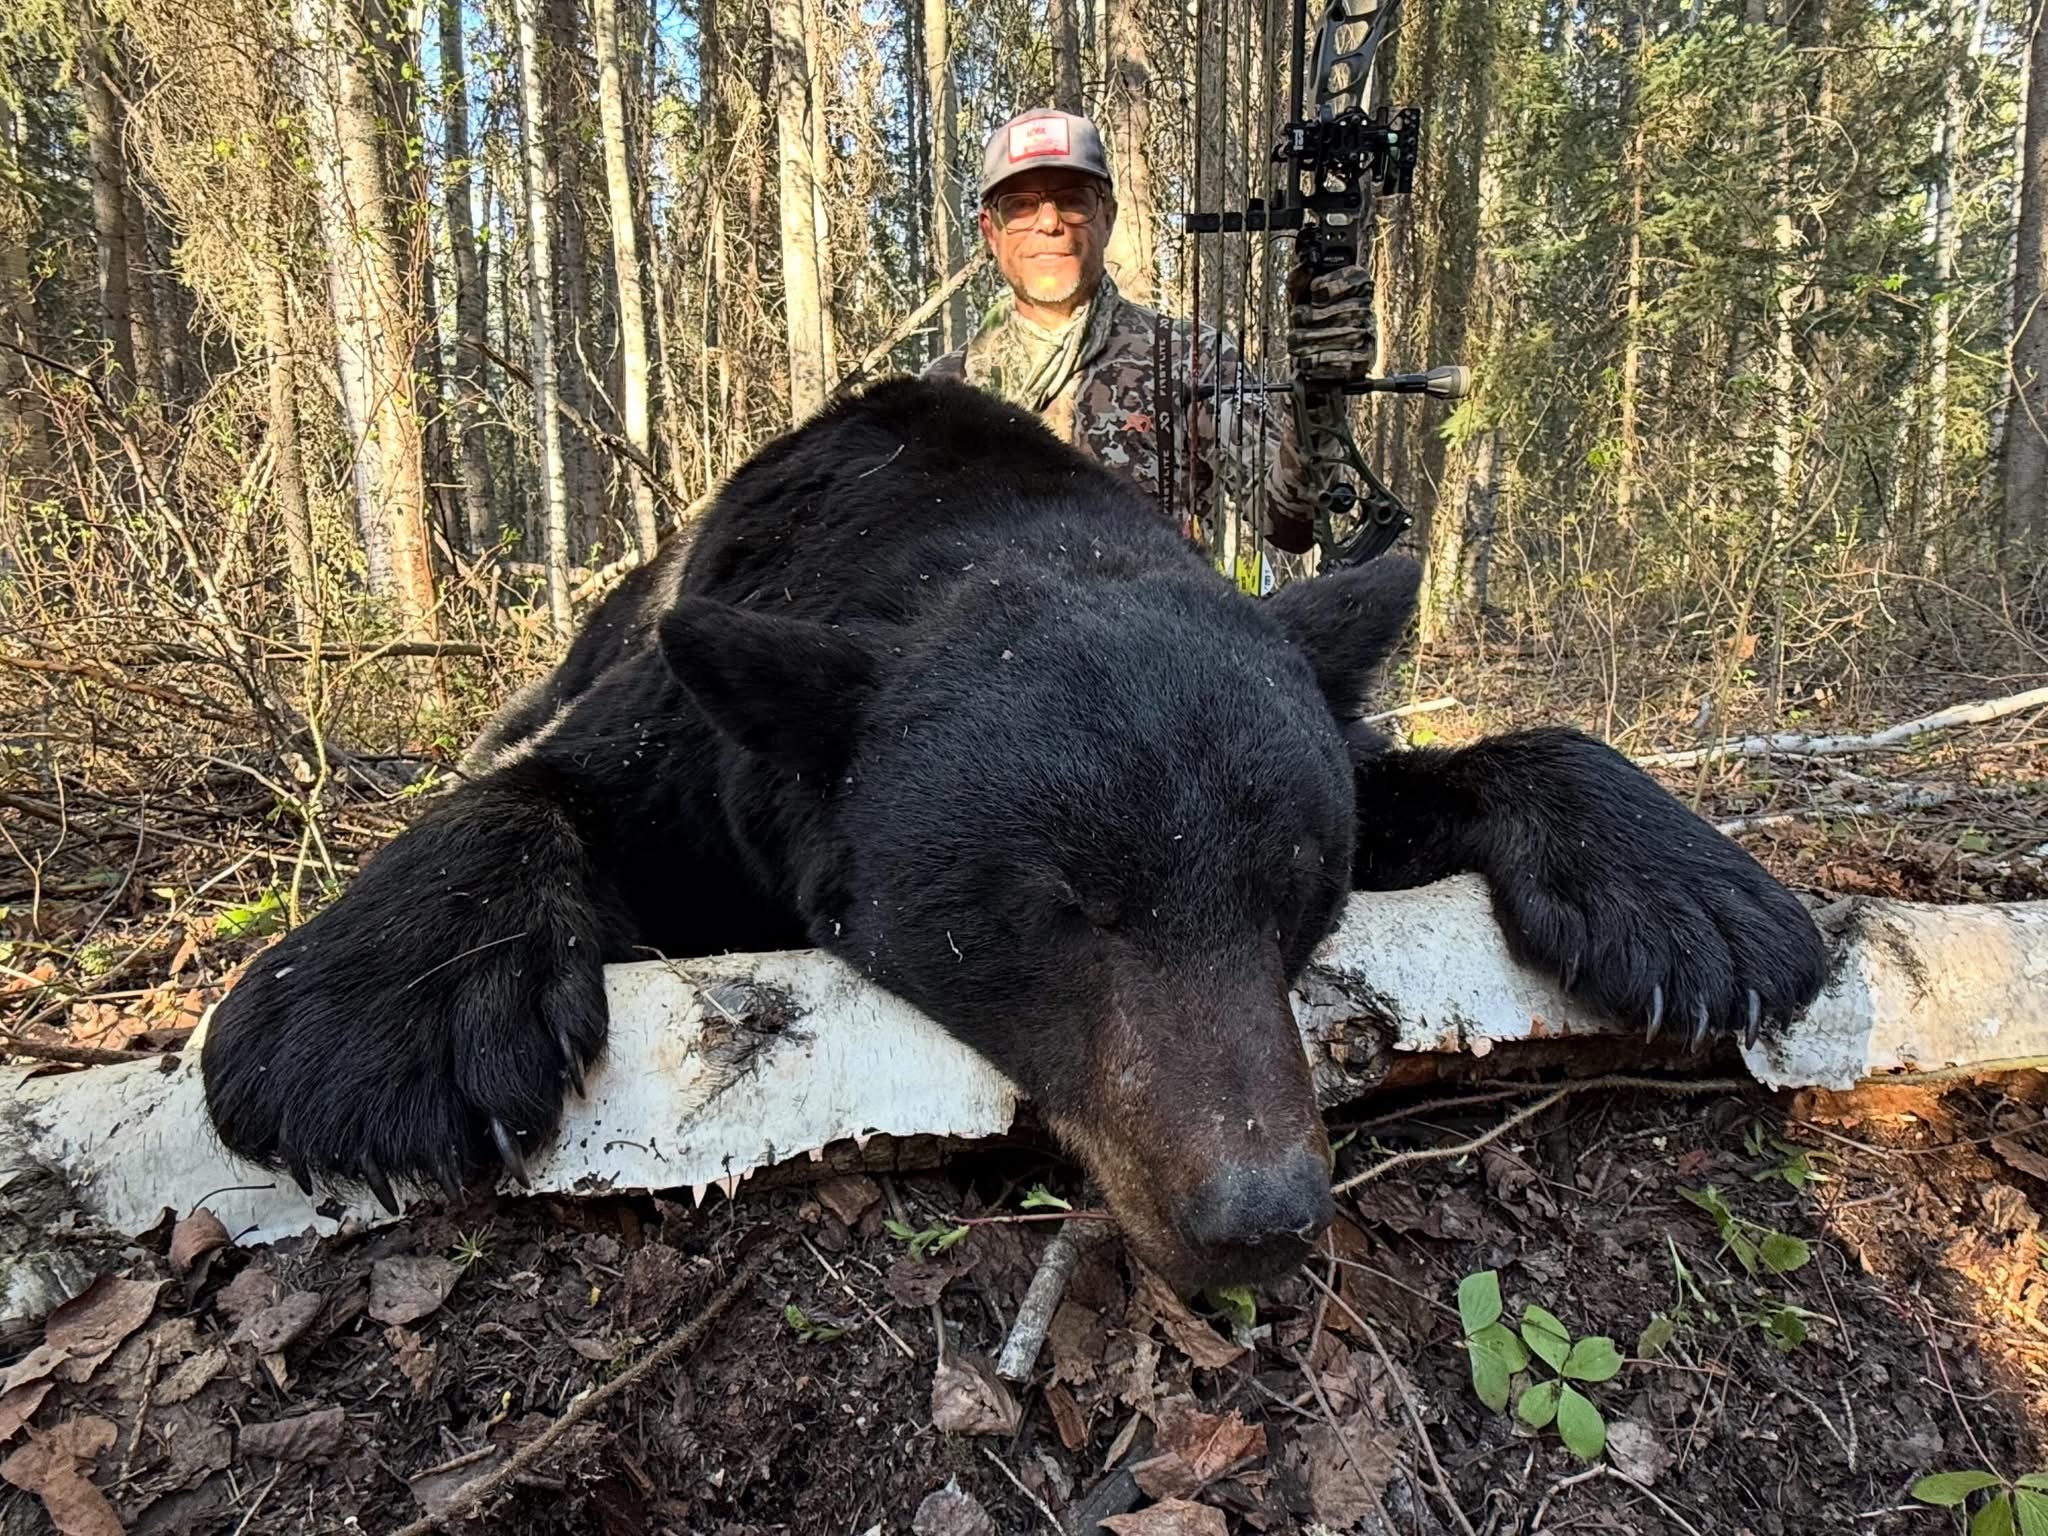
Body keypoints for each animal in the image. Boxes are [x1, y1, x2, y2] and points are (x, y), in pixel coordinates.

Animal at [200, 376, 1827, 1293]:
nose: (1263, 1216)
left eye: (1296, 890)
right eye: (1056, 905)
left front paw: (1701, 901)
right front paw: (368, 1029)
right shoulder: (702, 725)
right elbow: (539, 790)